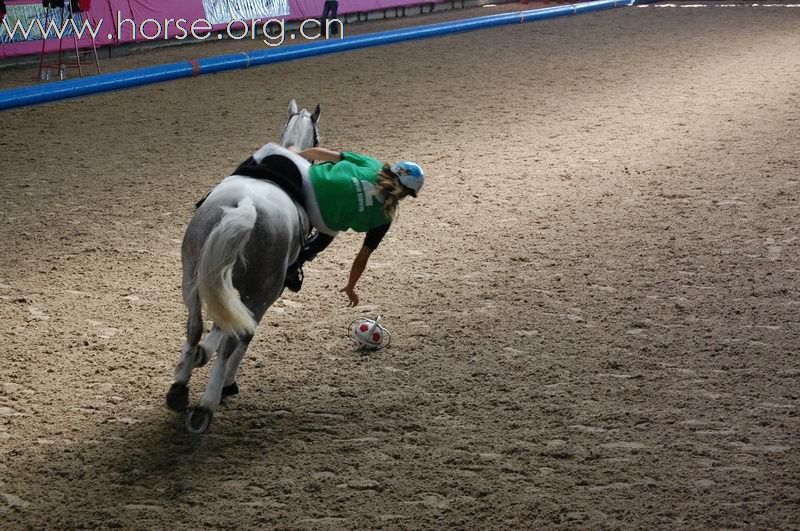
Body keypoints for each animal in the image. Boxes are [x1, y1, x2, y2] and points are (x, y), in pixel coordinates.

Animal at [166, 101, 318, 436]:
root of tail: (247, 206)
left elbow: (220, 321)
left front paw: (200, 354)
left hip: (192, 277)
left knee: (195, 325)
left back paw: (180, 387)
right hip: (262, 292)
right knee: (240, 337)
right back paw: (209, 402)